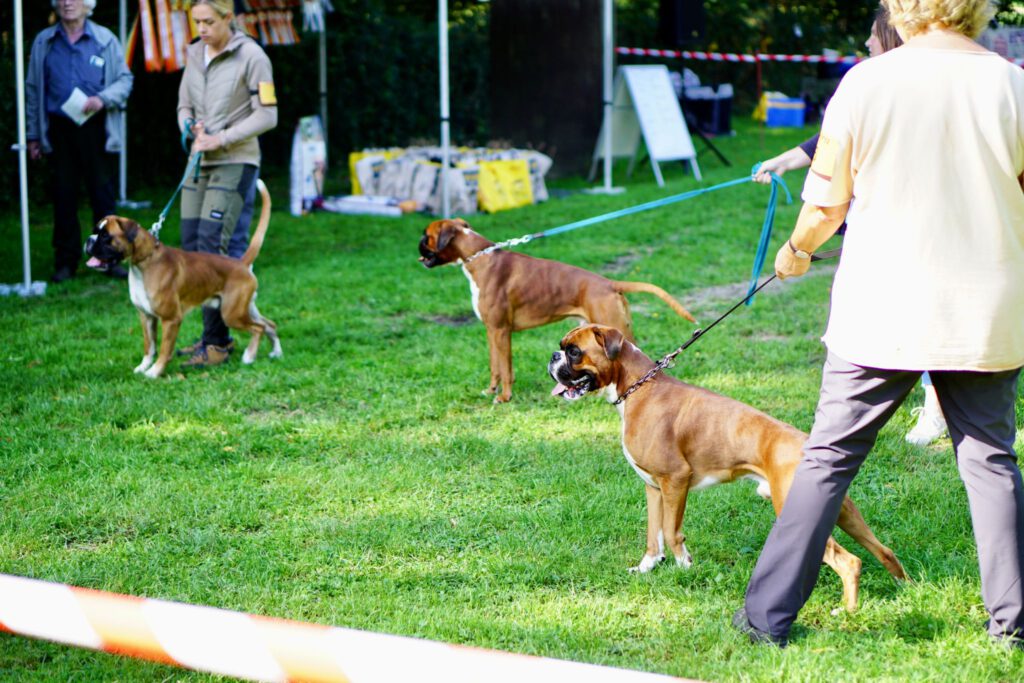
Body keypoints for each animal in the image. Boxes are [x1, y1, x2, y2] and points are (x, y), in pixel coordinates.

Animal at [84, 179, 282, 376]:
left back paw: (249, 356)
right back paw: (276, 353)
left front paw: (155, 372)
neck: (144, 263)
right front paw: (143, 367)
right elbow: (149, 346)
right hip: (244, 308)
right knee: (269, 325)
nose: (89, 240)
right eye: (95, 231)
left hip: (231, 314)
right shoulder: (146, 316)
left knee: (258, 328)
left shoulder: (171, 319)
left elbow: (164, 350)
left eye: (106, 236)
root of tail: (241, 263)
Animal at [419, 216, 700, 403]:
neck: (480, 258)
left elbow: (506, 368)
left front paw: (504, 397)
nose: (418, 246)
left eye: (426, 235)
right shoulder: (491, 331)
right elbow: (495, 366)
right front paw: (490, 391)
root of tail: (609, 283)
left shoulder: (501, 331)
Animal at [548, 323, 909, 610]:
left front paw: (685, 567)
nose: (553, 356)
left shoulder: (675, 481)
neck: (640, 386)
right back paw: (906, 590)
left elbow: (672, 532)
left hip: (794, 508)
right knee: (883, 550)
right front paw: (647, 568)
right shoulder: (653, 487)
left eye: (574, 351)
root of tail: (806, 444)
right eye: (563, 348)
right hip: (845, 513)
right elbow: (653, 535)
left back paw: (846, 612)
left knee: (849, 562)